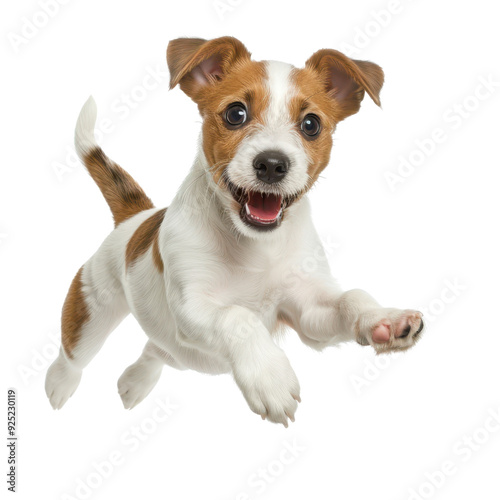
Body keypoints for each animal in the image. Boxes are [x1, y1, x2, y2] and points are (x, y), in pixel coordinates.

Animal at [45, 36, 424, 426]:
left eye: (311, 124)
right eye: (235, 114)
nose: (272, 164)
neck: (256, 245)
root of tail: (136, 216)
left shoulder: (308, 313)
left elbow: (351, 297)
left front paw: (383, 319)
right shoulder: (192, 306)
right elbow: (236, 316)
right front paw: (270, 377)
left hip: (179, 353)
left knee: (156, 348)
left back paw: (136, 381)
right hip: (93, 310)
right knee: (74, 354)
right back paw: (59, 385)